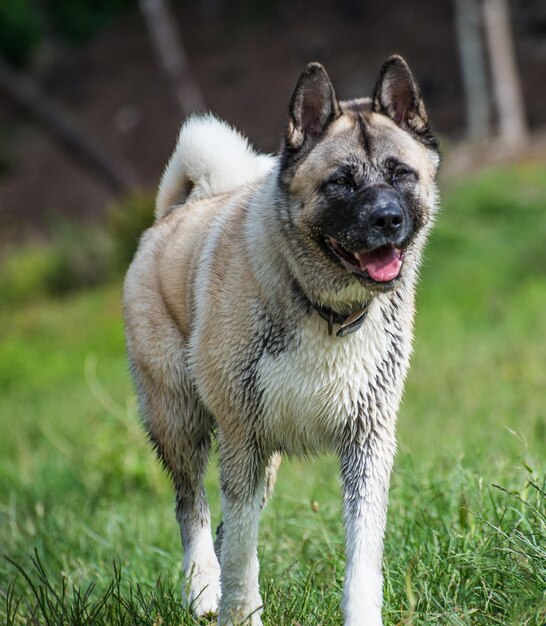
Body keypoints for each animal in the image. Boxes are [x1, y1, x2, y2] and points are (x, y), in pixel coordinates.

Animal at [122, 54, 438, 624]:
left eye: (402, 173)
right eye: (341, 182)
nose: (389, 218)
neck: (327, 311)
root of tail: (173, 214)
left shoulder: (367, 443)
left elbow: (362, 552)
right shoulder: (241, 439)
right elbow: (241, 553)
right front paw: (239, 610)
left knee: (224, 525)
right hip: (180, 422)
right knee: (193, 509)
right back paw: (202, 589)